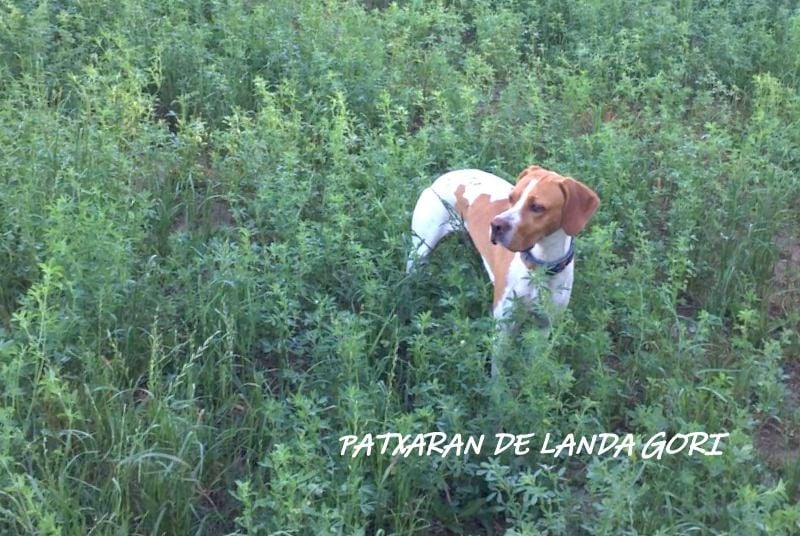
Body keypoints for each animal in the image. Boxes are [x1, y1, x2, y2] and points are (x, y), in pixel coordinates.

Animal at [410, 165, 596, 370]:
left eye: (537, 207)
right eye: (511, 198)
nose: (495, 224)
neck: (538, 268)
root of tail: (445, 176)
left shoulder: (543, 328)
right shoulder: (504, 328)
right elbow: (498, 373)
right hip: (419, 252)